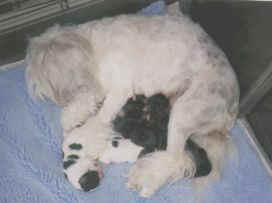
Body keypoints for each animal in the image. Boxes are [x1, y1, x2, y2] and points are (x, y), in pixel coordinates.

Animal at [25, 13, 238, 197]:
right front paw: (72, 120)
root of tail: (229, 115)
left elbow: (99, 119)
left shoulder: (119, 89)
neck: (93, 45)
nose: (63, 100)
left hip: (184, 114)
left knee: (174, 158)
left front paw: (83, 133)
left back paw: (145, 178)